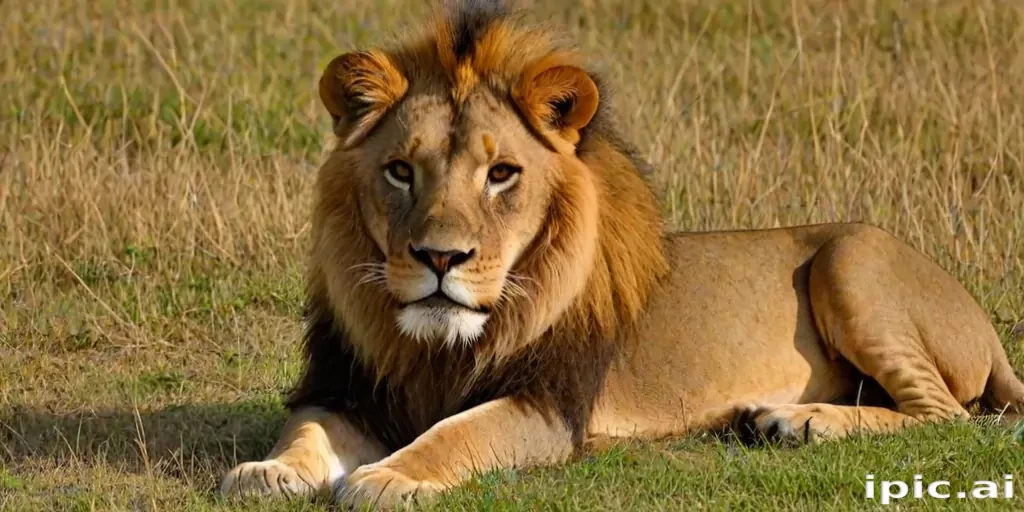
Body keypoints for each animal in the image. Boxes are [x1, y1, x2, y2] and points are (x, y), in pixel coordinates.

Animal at [219, 0, 1024, 508]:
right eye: (399, 171)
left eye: (501, 174)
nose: (439, 259)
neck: (435, 347)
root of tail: (984, 326)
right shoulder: (343, 389)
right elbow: (306, 431)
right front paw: (266, 472)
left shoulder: (549, 405)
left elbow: (455, 433)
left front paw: (389, 478)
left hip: (853, 256)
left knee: (947, 414)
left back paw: (801, 423)